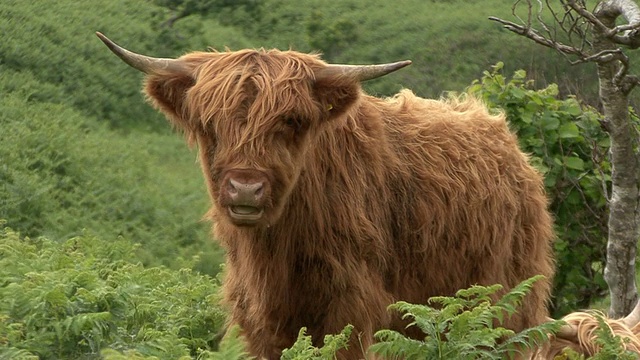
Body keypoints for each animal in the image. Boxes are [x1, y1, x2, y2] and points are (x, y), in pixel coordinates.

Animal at [99, 32, 556, 358]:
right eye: (210, 124)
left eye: (290, 121)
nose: (245, 187)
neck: (278, 252)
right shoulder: (262, 322)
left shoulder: (352, 311)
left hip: (508, 307)